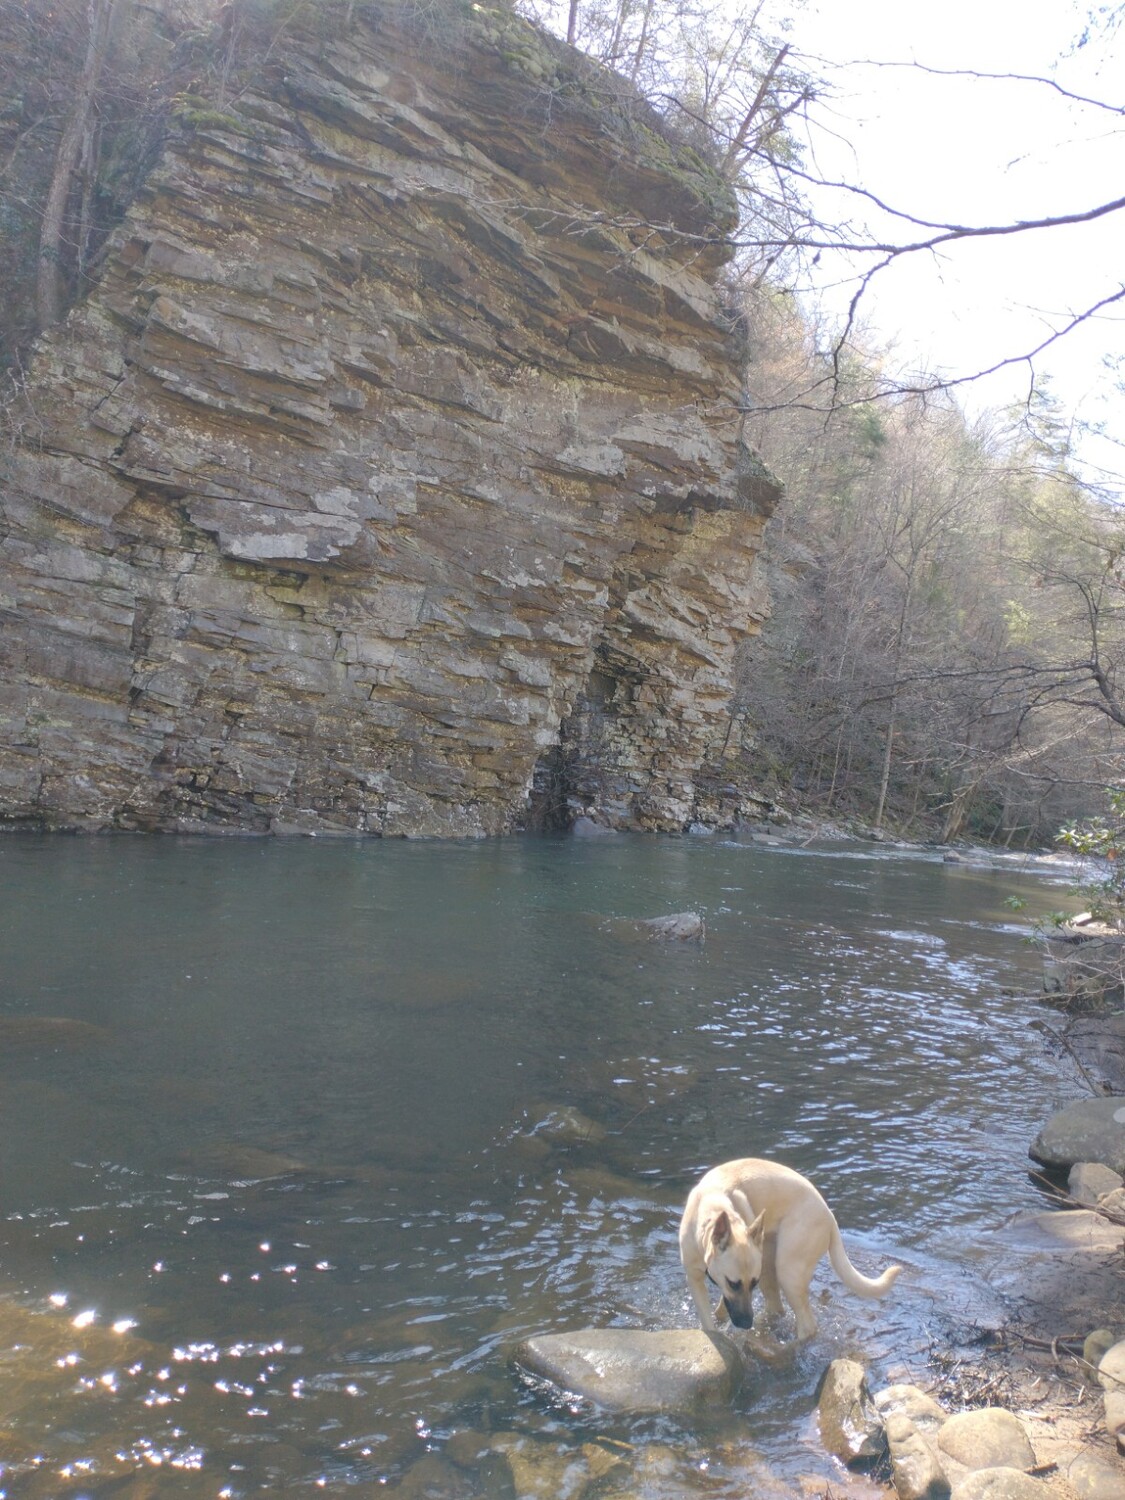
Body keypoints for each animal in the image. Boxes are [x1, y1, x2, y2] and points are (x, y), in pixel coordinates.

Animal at [679, 1157, 901, 1340]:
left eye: (752, 1283)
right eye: (733, 1284)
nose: (747, 1324)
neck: (711, 1206)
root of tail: (830, 1217)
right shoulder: (694, 1279)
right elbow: (714, 1316)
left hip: (787, 1272)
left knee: (807, 1326)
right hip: (769, 1267)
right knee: (777, 1309)